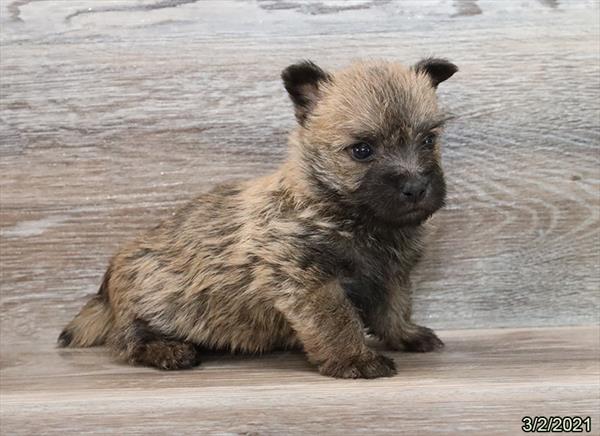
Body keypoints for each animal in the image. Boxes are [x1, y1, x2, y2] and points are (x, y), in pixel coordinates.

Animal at [57, 58, 460, 378]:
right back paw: (167, 349)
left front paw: (406, 335)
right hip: (150, 300)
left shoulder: (392, 277)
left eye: (428, 140)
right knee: (127, 340)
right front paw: (355, 359)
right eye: (362, 150)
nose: (415, 187)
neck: (346, 212)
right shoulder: (310, 281)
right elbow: (338, 322)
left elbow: (395, 310)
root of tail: (106, 293)